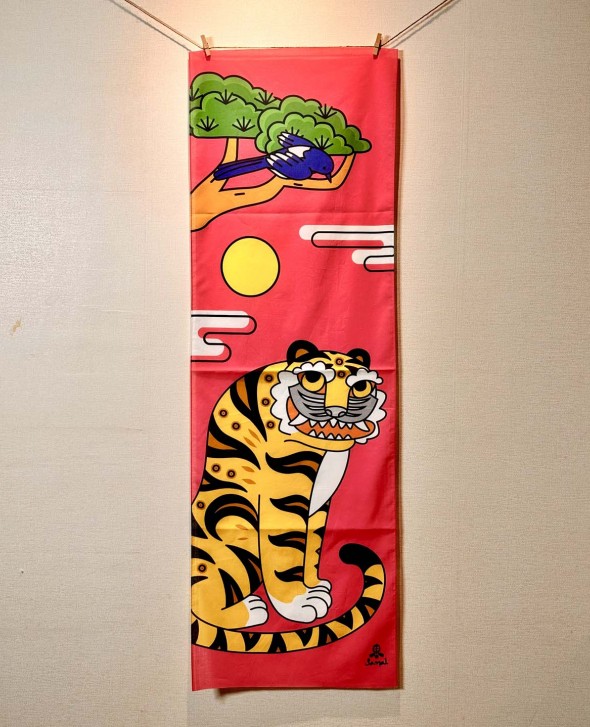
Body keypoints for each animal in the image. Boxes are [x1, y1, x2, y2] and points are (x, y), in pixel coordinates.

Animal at [191, 339, 388, 653]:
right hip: (237, 536)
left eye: (359, 387)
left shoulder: (318, 508)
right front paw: (299, 604)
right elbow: (287, 553)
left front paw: (314, 586)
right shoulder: (283, 499)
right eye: (314, 379)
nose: (337, 412)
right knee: (204, 600)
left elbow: (312, 548)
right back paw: (250, 611)